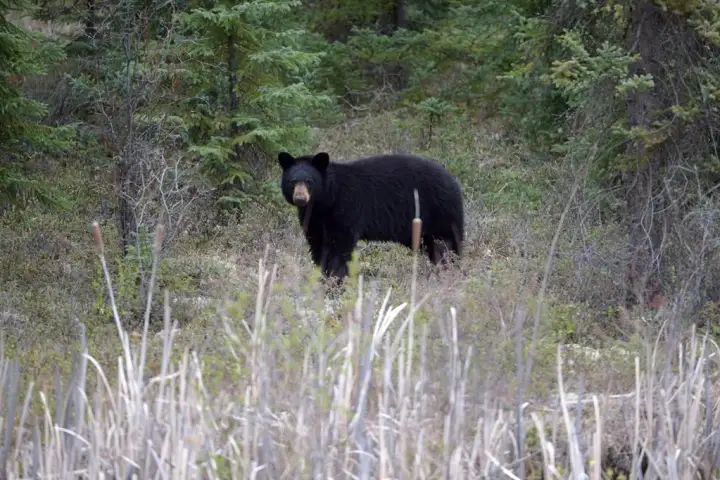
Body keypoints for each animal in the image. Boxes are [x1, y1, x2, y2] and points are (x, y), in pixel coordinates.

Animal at [278, 150, 464, 286]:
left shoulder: (345, 208)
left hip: (440, 212)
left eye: (309, 181)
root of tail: (453, 180)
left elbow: (340, 246)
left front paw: (336, 279)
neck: (325, 201)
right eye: (293, 181)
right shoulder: (314, 219)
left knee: (448, 243)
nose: (300, 199)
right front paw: (322, 276)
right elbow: (318, 245)